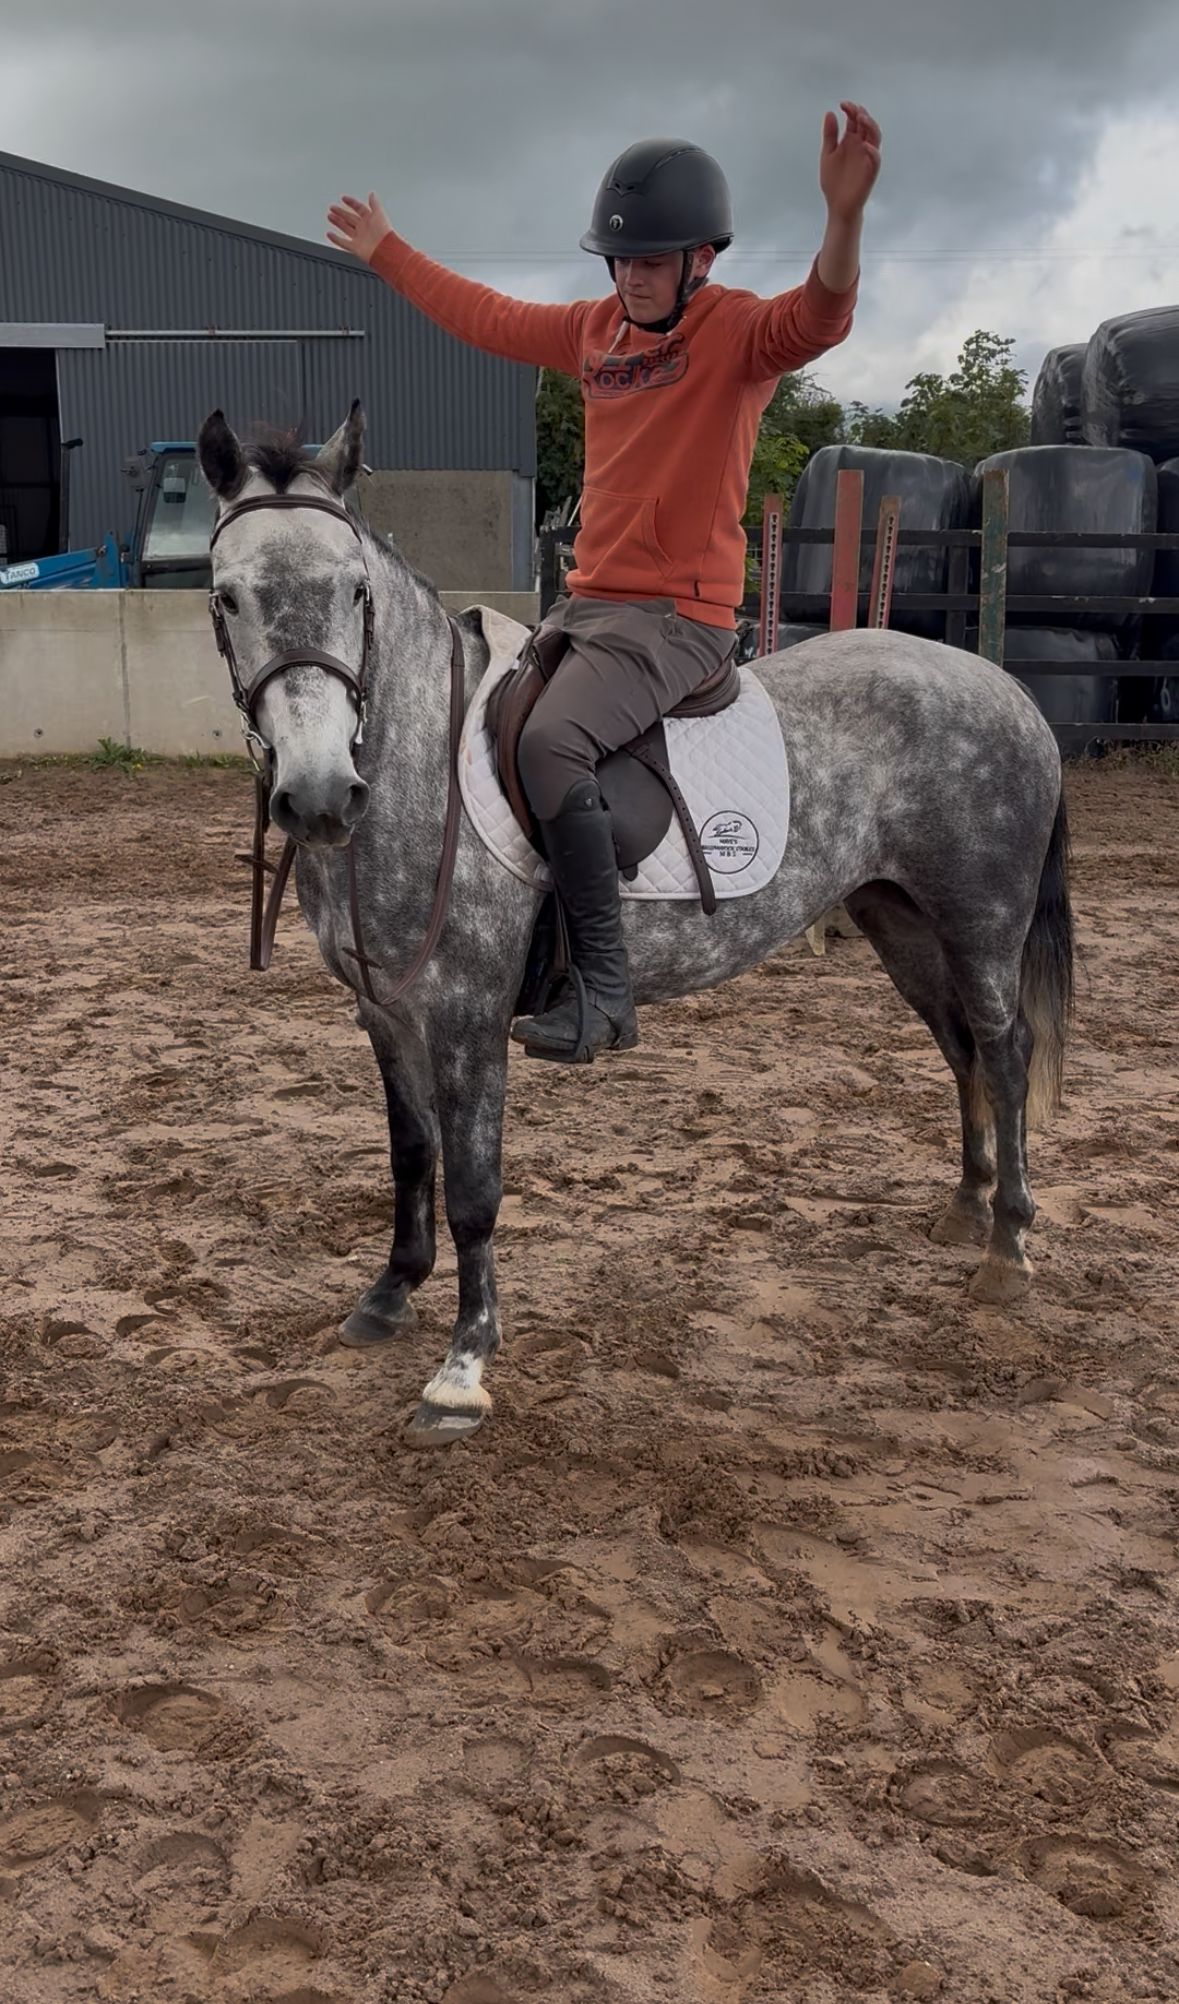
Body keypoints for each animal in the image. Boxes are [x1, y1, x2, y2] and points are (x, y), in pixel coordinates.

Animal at [197, 403, 1073, 1446]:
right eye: (226, 598)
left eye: (356, 591)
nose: (321, 795)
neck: (418, 767)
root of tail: (1006, 687)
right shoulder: (385, 1014)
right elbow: (410, 1157)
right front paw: (389, 1294)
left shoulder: (465, 1021)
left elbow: (474, 1189)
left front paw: (462, 1368)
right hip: (899, 922)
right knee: (960, 1052)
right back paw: (966, 1210)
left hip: (980, 923)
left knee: (1005, 1054)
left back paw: (1008, 1250)